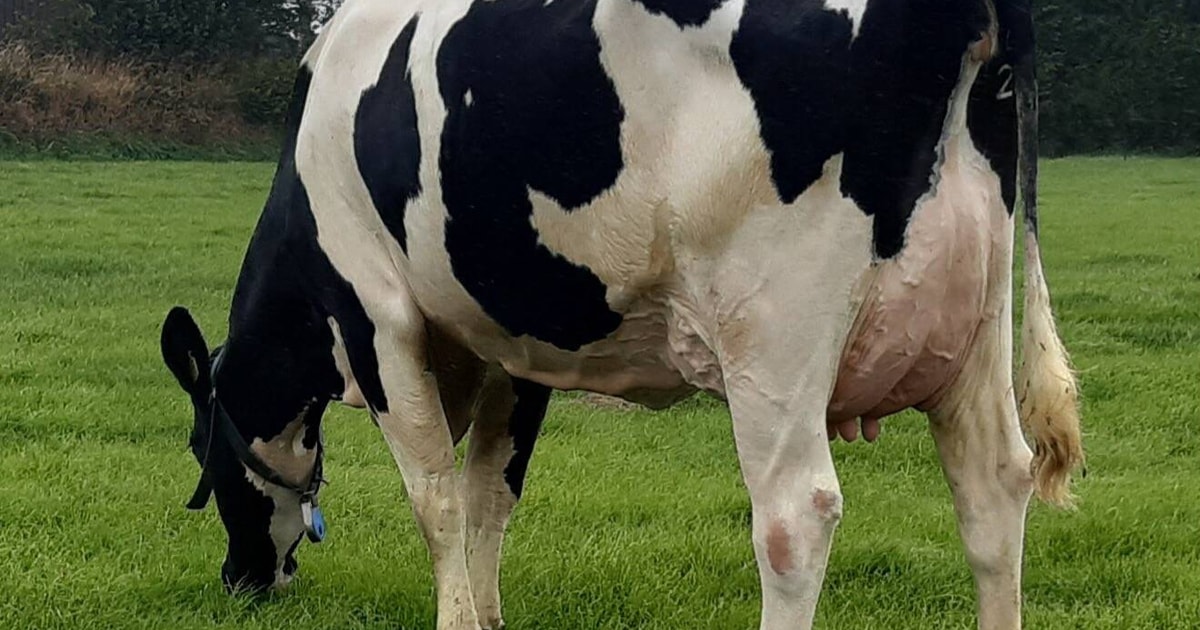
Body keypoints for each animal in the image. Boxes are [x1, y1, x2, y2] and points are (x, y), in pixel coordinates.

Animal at [159, 0, 1084, 628]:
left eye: (201, 450)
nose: (240, 579)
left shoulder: (373, 316)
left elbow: (436, 499)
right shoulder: (517, 346)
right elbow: (492, 492)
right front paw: (488, 615)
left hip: (775, 321)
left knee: (795, 514)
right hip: (975, 314)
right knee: (993, 487)